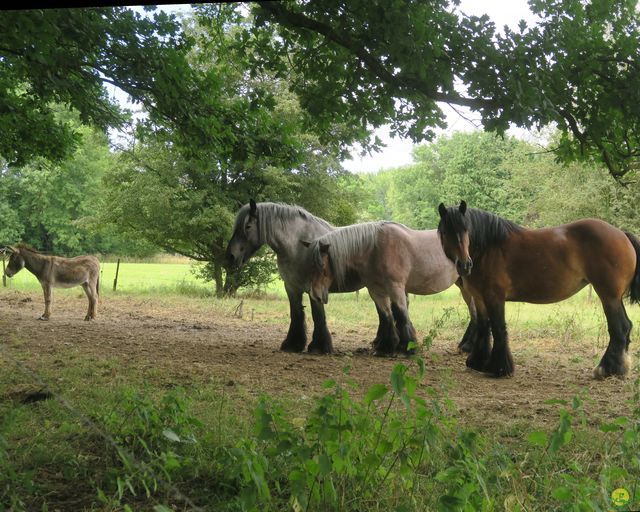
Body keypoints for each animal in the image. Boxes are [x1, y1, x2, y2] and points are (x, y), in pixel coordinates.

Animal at [308, 220, 478, 356]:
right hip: (463, 286)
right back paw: (465, 345)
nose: (314, 294)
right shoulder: (376, 291)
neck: (375, 249)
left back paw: (469, 346)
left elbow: (401, 314)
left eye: (322, 267)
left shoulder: (396, 288)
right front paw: (386, 347)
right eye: (311, 265)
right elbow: (386, 316)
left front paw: (408, 347)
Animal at [436, 202, 640, 378]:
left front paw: (499, 368)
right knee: (626, 327)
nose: (464, 265)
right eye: (445, 232)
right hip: (615, 297)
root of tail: (621, 234)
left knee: (619, 328)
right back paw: (619, 368)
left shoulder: (494, 297)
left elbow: (498, 328)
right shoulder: (479, 297)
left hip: (608, 296)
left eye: (465, 230)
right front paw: (477, 362)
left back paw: (606, 369)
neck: (489, 248)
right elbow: (483, 326)